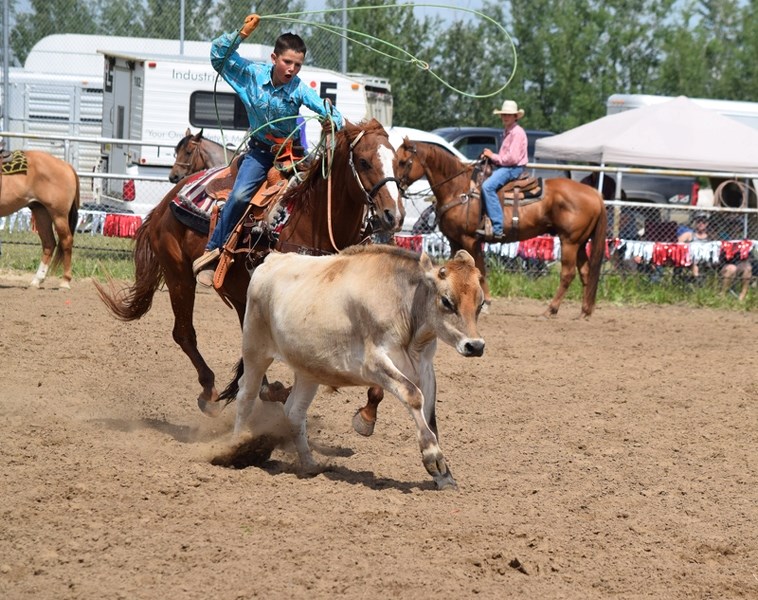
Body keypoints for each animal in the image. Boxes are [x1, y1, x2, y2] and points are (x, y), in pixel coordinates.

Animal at [0, 151, 80, 290]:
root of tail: (66, 166)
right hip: (41, 212)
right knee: (49, 243)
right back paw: (37, 280)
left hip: (58, 215)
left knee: (66, 241)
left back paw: (65, 282)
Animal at [98, 118, 406, 418]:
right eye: (364, 161)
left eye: (398, 161)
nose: (394, 215)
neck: (312, 221)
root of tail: (165, 202)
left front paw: (369, 407)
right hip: (179, 277)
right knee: (185, 334)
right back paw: (213, 392)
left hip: (238, 294)